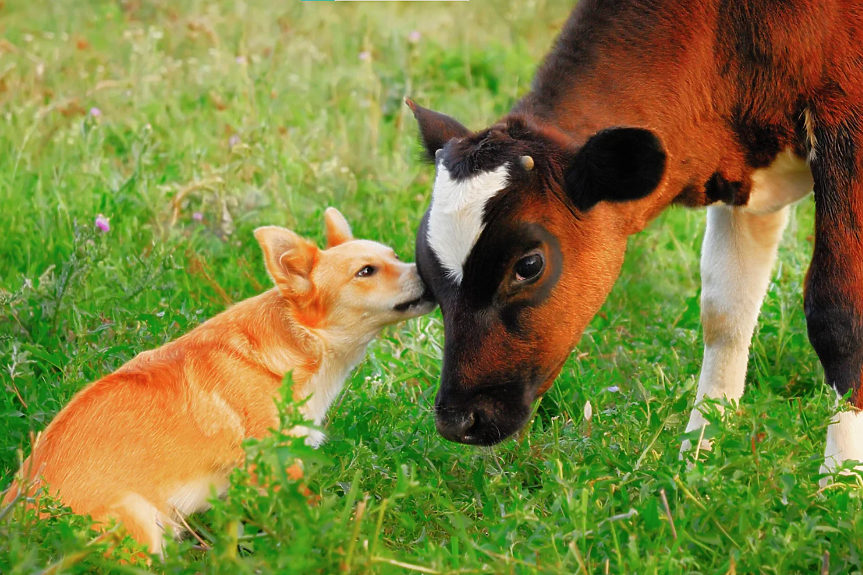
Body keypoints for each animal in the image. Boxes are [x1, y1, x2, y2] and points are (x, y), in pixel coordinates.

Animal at [0, 209, 432, 556]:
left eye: (395, 257)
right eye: (366, 271)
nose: (429, 269)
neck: (301, 345)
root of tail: (16, 524)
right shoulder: (279, 471)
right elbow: (320, 521)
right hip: (142, 522)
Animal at [408, 0, 863, 480]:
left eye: (529, 265)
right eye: (424, 268)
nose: (458, 420)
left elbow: (839, 314)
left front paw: (840, 482)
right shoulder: (744, 177)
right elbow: (726, 314)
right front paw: (697, 459)